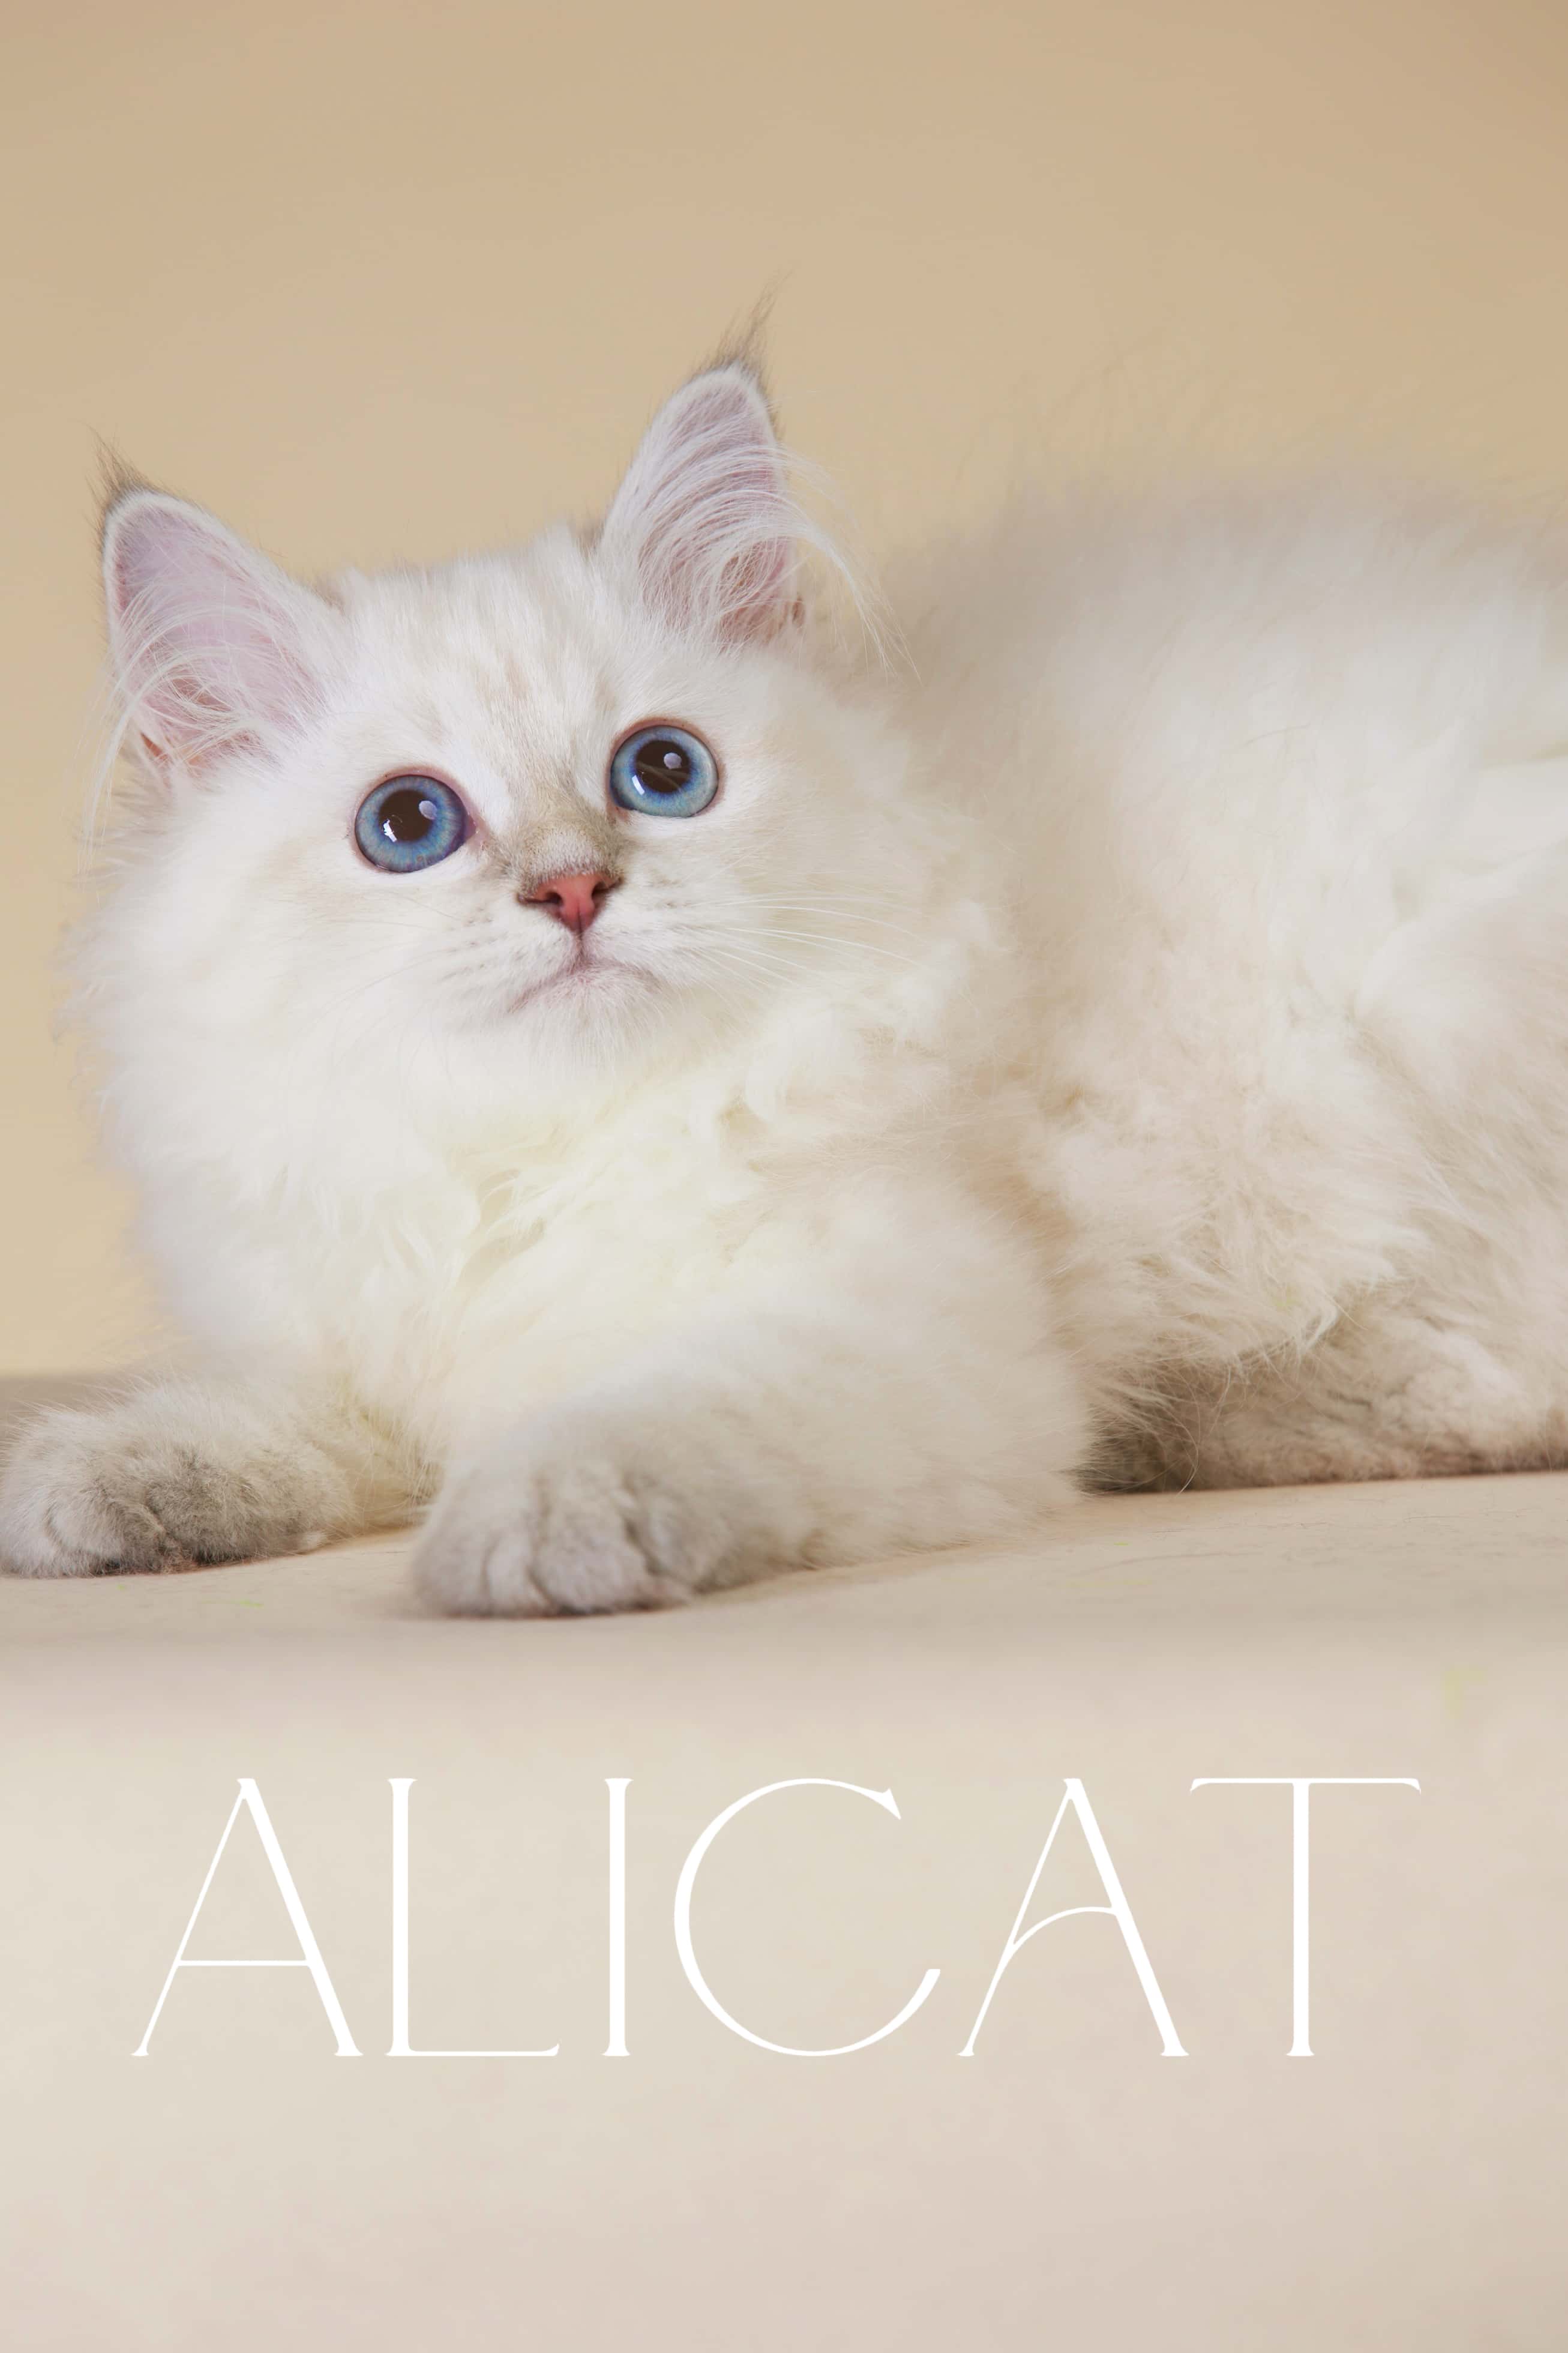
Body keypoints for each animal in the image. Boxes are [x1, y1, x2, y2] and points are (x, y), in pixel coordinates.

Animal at [6, 353, 1568, 1614]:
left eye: (660, 772)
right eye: (408, 825)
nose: (571, 889)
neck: (545, 1152)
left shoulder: (902, 1319)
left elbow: (654, 1414)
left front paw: (530, 1527)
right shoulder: (367, 1343)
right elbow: (250, 1420)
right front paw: (92, 1489)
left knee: (1500, 1385)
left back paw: (1201, 1425)